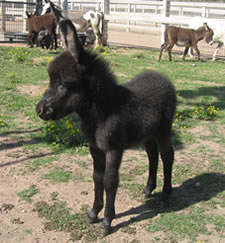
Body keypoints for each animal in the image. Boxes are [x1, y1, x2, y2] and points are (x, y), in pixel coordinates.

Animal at [36, 19, 177, 236]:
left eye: (63, 84)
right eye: (52, 80)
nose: (40, 110)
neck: (102, 112)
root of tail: (163, 78)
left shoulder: (113, 149)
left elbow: (110, 181)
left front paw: (107, 221)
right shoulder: (95, 147)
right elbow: (97, 177)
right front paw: (94, 212)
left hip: (163, 131)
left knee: (167, 156)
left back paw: (165, 196)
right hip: (147, 135)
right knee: (152, 156)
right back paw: (148, 190)